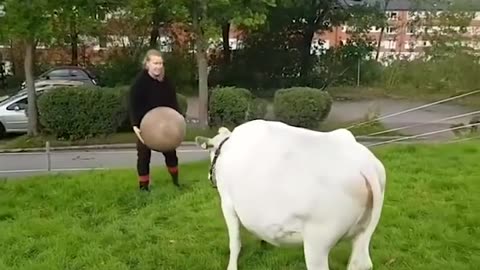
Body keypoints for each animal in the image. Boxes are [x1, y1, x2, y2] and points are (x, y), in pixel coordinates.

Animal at [195, 120, 386, 270]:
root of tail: (366, 166)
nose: (208, 177)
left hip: (318, 241)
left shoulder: (227, 203)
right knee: (360, 263)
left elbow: (234, 242)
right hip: (362, 231)